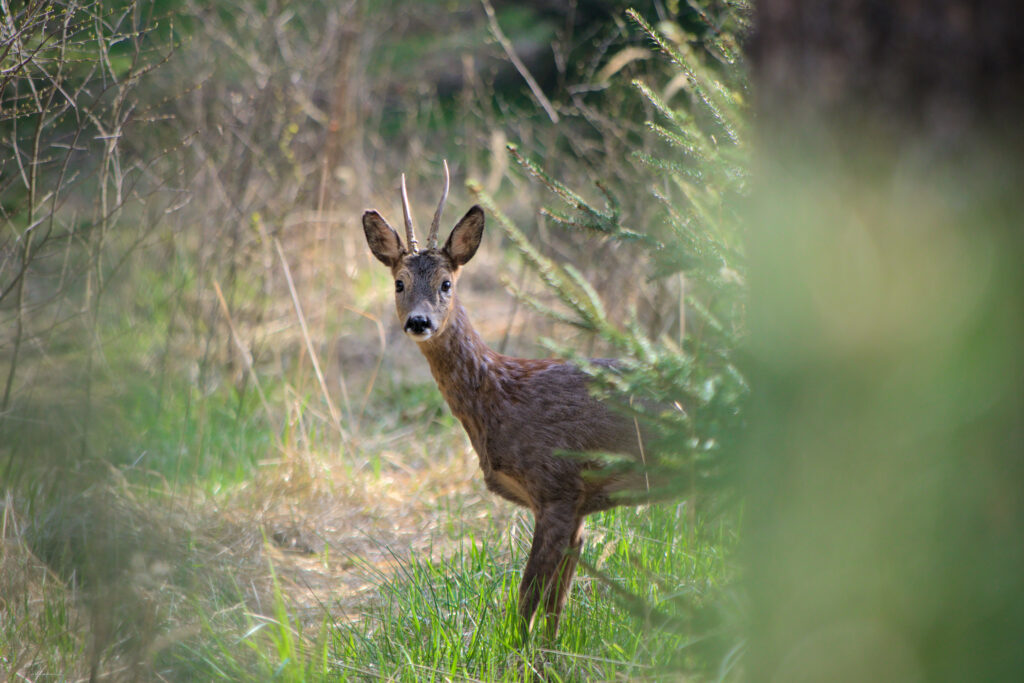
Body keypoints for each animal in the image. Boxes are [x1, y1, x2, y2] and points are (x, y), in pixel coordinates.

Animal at [361, 161, 648, 638]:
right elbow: (554, 607)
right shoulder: (577, 507)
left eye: (446, 283)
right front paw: (549, 654)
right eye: (399, 283)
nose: (419, 322)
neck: (501, 394)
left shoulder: (557, 487)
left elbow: (527, 602)